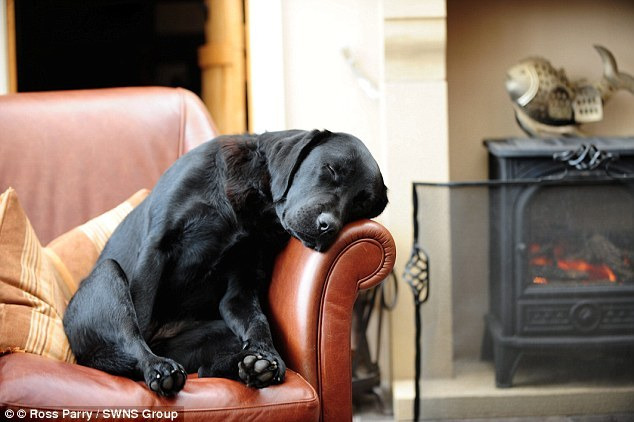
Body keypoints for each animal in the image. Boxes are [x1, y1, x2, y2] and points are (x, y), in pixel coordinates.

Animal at [65, 129, 390, 396]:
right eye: (331, 169)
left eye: (360, 205)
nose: (328, 226)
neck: (252, 204)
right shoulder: (155, 248)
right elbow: (140, 315)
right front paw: (152, 370)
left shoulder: (242, 287)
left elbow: (258, 321)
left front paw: (266, 357)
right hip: (108, 274)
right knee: (131, 332)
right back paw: (159, 367)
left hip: (216, 333)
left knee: (207, 368)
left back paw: (247, 366)